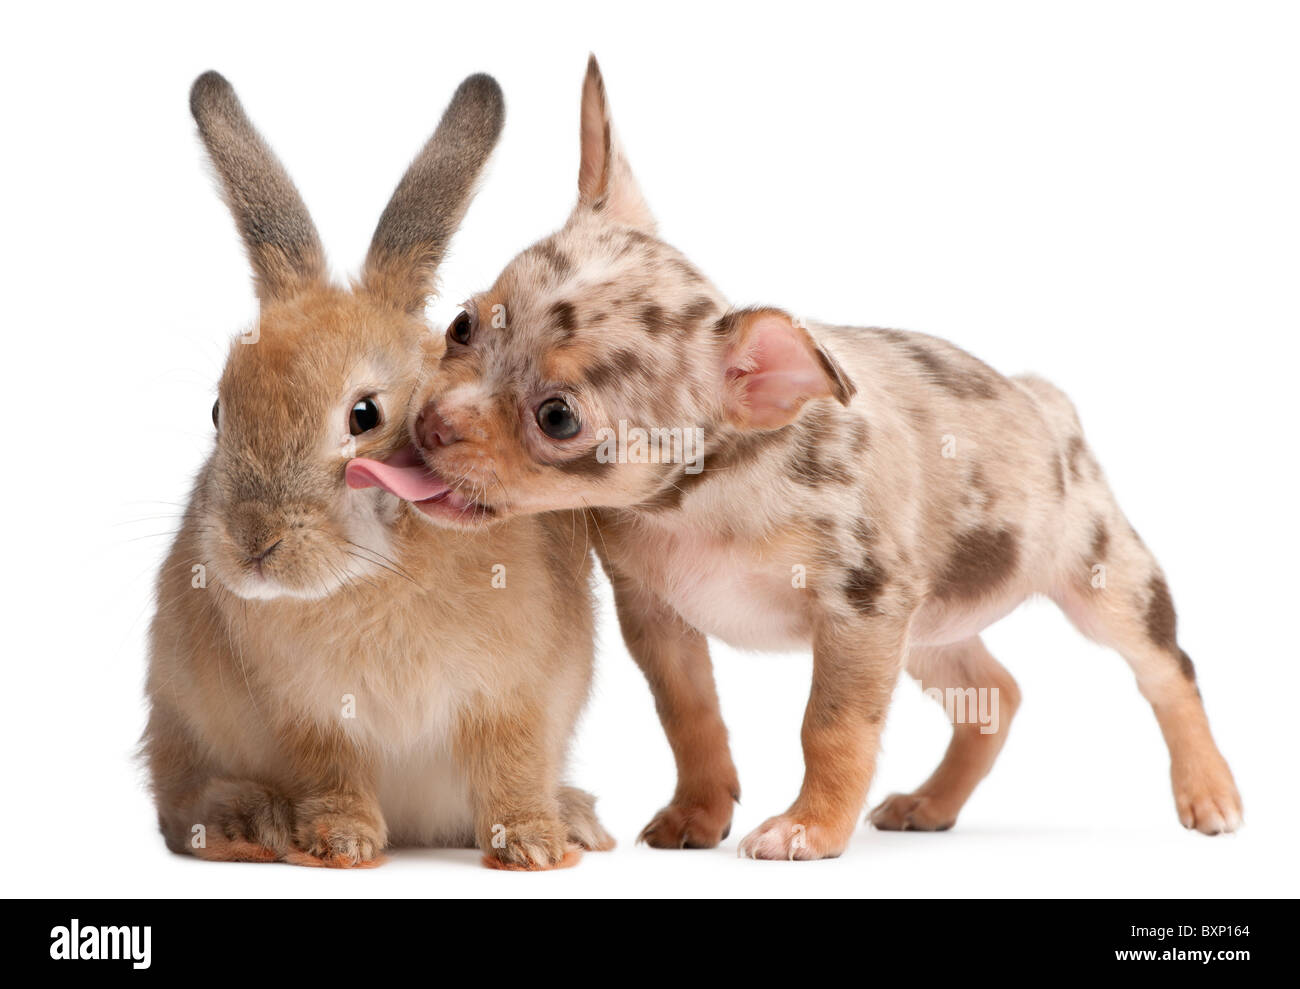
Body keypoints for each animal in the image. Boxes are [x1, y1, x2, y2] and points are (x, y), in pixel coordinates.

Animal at [142, 70, 612, 870]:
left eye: (364, 415)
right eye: (218, 410)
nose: (253, 542)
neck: (377, 571)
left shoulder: (514, 695)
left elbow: (512, 766)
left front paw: (535, 846)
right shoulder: (308, 715)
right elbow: (331, 772)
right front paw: (341, 843)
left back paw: (576, 817)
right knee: (179, 806)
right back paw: (247, 820)